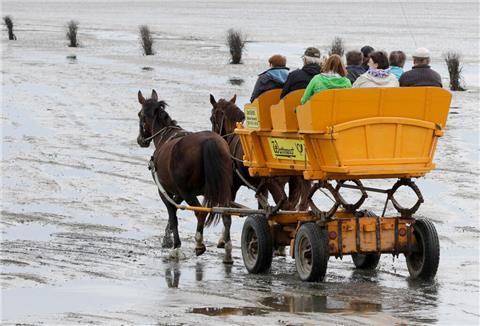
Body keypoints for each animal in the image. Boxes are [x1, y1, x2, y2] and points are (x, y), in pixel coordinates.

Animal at [137, 89, 234, 262]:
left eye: (139, 115)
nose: (140, 140)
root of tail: (209, 141)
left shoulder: (165, 191)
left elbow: (173, 214)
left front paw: (175, 246)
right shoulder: (180, 192)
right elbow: (175, 209)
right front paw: (167, 237)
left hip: (189, 193)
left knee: (200, 213)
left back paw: (199, 243)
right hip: (223, 190)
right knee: (226, 216)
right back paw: (227, 250)